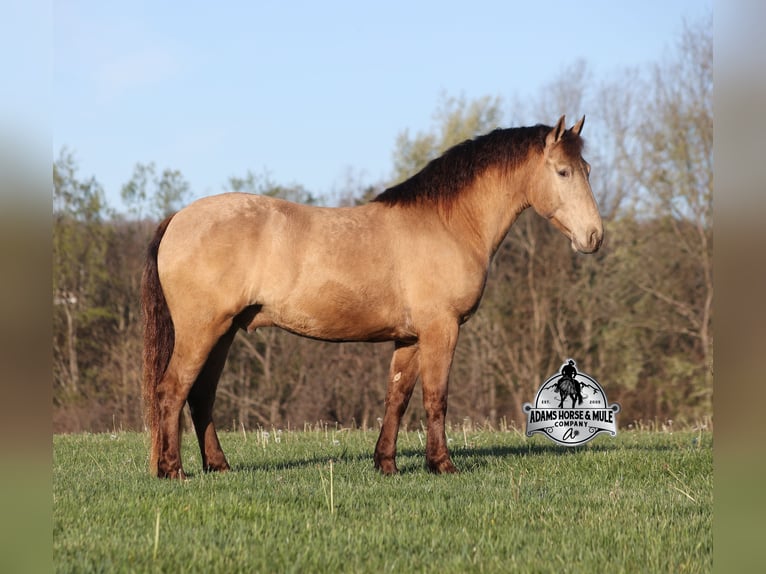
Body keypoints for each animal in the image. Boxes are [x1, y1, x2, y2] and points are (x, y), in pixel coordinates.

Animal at [142, 115, 603, 479]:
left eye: (587, 168)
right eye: (563, 172)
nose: (594, 237)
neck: (447, 223)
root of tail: (178, 218)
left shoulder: (410, 339)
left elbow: (396, 398)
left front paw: (386, 463)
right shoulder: (441, 330)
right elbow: (436, 398)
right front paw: (442, 464)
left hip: (224, 333)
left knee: (200, 395)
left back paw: (217, 465)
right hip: (202, 330)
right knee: (172, 390)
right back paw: (172, 470)